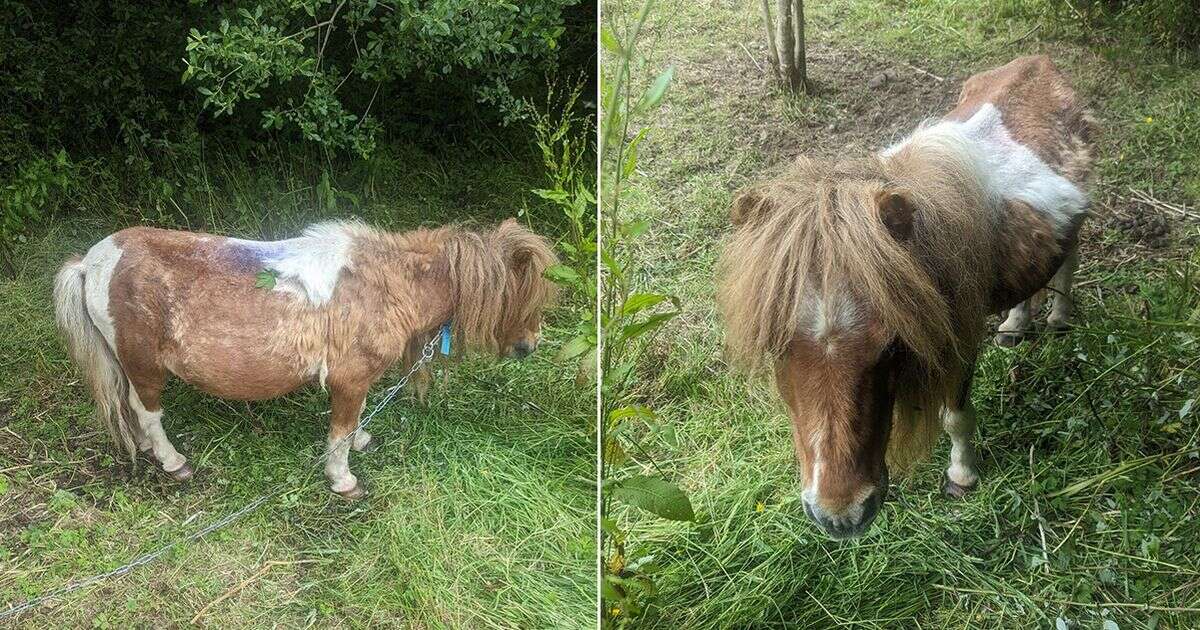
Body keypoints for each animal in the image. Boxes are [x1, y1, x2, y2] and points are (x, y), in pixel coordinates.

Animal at [56, 218, 556, 499]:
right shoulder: (350, 379)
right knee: (148, 410)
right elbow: (340, 430)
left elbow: (353, 423)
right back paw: (172, 460)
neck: (386, 285)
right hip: (144, 362)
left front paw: (360, 441)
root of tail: (92, 264)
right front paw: (343, 480)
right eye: (524, 296)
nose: (530, 345)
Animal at [715, 55, 1094, 535]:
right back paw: (1015, 323)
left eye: (892, 348)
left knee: (1070, 258)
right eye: (775, 348)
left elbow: (955, 416)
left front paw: (962, 477)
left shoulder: (959, 341)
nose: (841, 516)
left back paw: (1059, 316)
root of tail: (1039, 62)